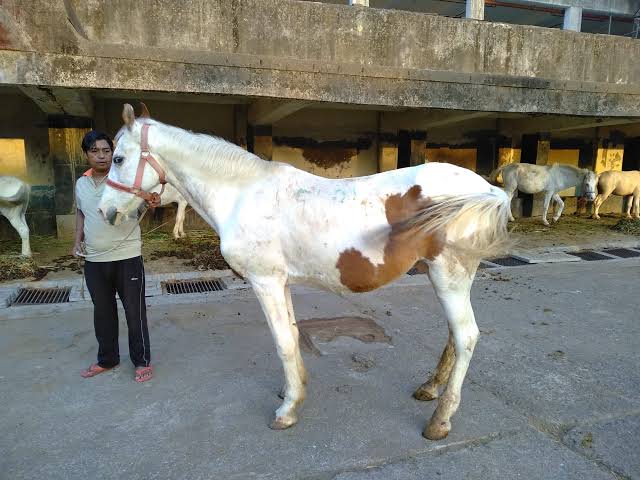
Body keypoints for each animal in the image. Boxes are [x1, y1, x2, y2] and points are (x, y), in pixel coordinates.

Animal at [97, 105, 512, 442]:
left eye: (118, 158)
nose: (104, 212)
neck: (242, 194)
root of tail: (486, 188)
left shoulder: (265, 282)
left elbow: (282, 342)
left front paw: (287, 411)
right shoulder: (280, 283)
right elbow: (293, 338)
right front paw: (292, 392)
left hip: (449, 275)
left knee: (467, 336)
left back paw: (439, 421)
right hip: (442, 277)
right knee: (454, 335)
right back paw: (430, 388)